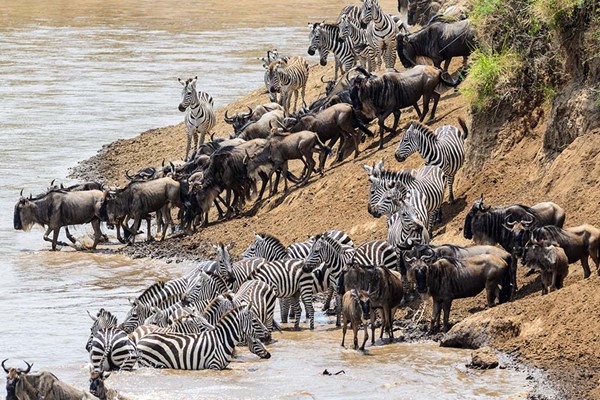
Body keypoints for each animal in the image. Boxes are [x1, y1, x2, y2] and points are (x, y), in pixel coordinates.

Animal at [137, 304, 270, 370]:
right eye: (255, 320)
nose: (268, 333)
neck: (222, 341)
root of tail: (141, 340)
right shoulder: (214, 366)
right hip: (150, 363)